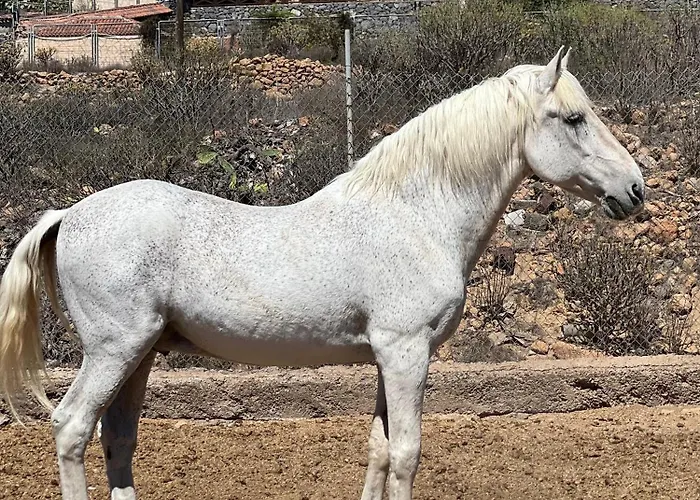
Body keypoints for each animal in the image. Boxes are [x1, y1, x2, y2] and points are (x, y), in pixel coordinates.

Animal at [0, 46, 644, 500]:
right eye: (573, 118)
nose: (634, 189)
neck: (415, 214)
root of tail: (68, 214)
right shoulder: (406, 352)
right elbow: (406, 453)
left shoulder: (388, 358)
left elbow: (379, 450)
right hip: (115, 349)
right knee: (71, 428)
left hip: (142, 353)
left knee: (118, 438)